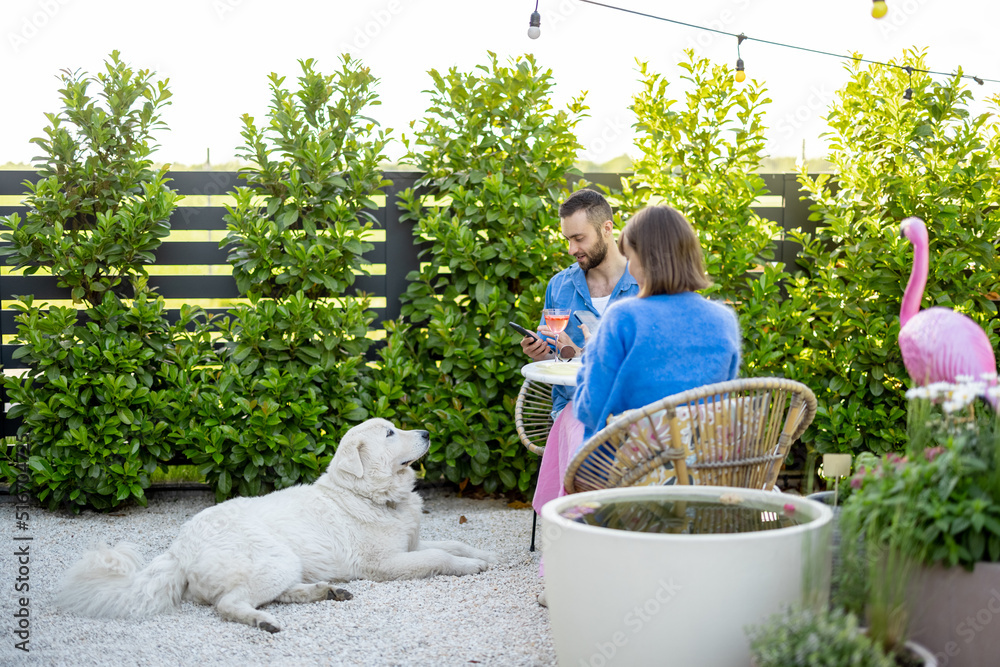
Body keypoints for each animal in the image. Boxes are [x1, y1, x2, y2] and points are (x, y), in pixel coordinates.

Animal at [56, 420, 494, 636]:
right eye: (390, 434)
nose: (426, 433)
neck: (370, 494)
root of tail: (177, 548)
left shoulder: (411, 544)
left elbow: (452, 541)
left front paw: (481, 554)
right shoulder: (385, 564)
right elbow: (438, 556)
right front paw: (468, 567)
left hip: (285, 563)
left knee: (270, 594)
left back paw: (325, 591)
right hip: (275, 558)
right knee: (230, 605)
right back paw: (264, 622)